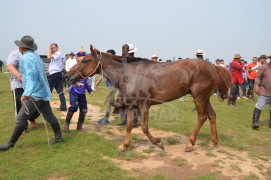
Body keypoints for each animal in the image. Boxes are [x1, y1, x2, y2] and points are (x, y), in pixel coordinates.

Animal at [66, 45, 232, 152]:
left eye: (85, 61)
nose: (67, 76)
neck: (129, 74)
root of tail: (214, 67)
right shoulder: (131, 105)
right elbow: (129, 125)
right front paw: (125, 145)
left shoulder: (144, 105)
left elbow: (144, 127)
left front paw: (159, 143)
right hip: (205, 98)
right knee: (212, 116)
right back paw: (213, 142)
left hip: (199, 97)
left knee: (202, 117)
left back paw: (190, 143)